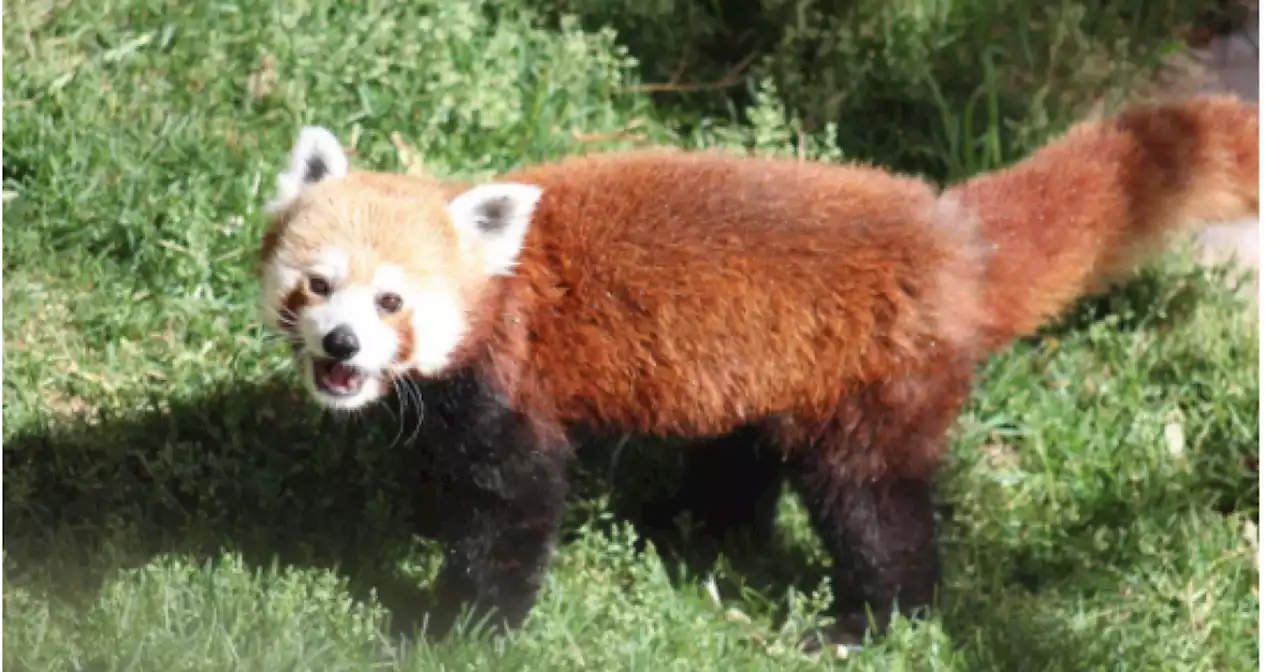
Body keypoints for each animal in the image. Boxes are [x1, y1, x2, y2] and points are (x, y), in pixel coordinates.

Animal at [257, 96, 1259, 647]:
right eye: (319, 285)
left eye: (393, 302)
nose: (341, 347)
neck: (504, 285)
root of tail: (950, 236)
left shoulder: (517, 383)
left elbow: (513, 511)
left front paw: (449, 627)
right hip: (773, 374)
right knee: (742, 457)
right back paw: (692, 529)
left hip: (878, 385)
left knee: (875, 509)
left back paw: (868, 622)